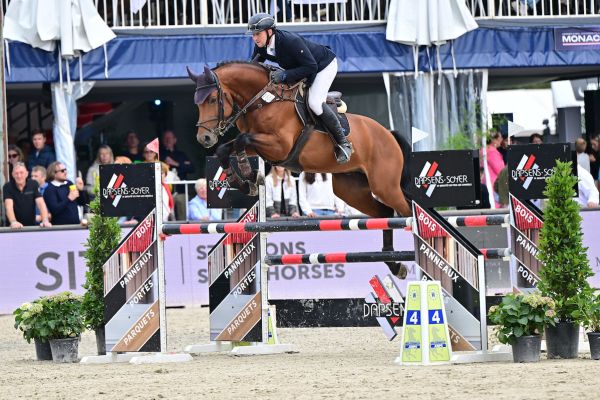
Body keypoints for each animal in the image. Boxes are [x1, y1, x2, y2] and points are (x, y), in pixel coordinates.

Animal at [188, 61, 412, 276]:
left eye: (211, 99)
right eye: (196, 102)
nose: (204, 138)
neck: (264, 101)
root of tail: (388, 133)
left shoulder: (279, 146)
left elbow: (241, 140)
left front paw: (248, 174)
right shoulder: (260, 146)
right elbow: (226, 148)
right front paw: (243, 181)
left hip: (385, 186)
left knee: (406, 210)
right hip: (351, 190)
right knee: (384, 212)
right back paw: (394, 264)